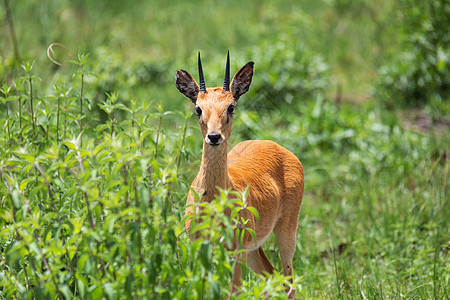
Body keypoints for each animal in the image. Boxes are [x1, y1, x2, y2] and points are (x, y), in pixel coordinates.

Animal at [176, 51, 306, 298]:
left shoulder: (235, 252)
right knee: (271, 276)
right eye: (198, 108)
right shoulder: (200, 249)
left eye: (231, 107)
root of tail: (277, 147)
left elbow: (233, 291)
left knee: (289, 282)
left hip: (286, 232)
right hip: (254, 249)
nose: (214, 136)